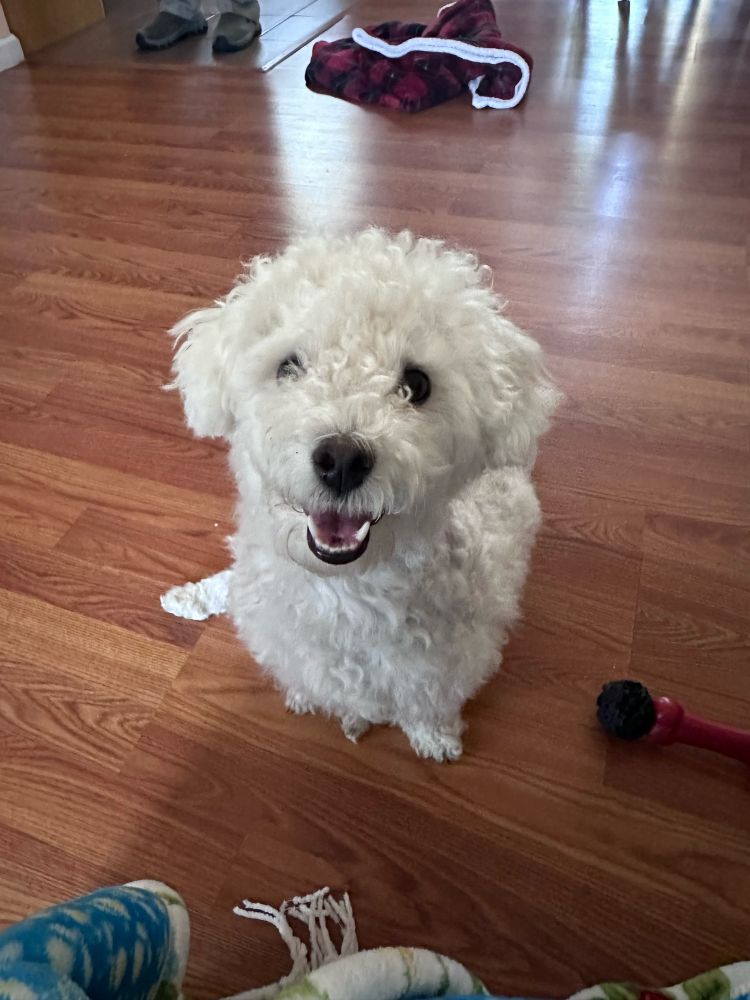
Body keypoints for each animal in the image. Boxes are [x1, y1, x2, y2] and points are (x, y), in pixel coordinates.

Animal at [170, 229, 558, 761]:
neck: (346, 590)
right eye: (288, 366)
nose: (341, 459)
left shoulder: (441, 668)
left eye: (417, 384)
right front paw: (316, 700)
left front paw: (435, 738)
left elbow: (427, 704)